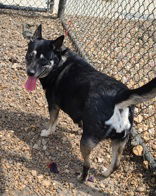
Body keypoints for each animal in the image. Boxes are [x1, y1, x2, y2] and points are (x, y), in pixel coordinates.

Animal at [24, 24, 156, 182]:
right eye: (30, 56)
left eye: (44, 60)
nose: (30, 73)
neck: (58, 62)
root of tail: (119, 97)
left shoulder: (53, 105)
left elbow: (52, 122)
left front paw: (47, 132)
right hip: (120, 141)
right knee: (116, 164)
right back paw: (105, 173)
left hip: (86, 142)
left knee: (88, 164)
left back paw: (82, 177)